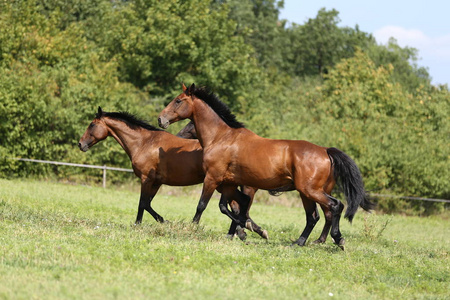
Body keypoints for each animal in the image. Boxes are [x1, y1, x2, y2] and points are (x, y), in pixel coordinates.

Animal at [78, 106, 266, 240]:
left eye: (92, 124)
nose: (80, 144)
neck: (144, 143)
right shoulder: (156, 182)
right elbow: (147, 204)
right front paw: (163, 221)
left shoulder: (146, 179)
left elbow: (142, 203)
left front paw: (139, 224)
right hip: (225, 185)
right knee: (239, 206)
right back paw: (244, 232)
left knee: (237, 207)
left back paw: (242, 232)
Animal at [158, 84, 372, 248]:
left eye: (178, 100)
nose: (161, 120)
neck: (222, 138)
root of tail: (325, 150)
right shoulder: (228, 183)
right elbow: (230, 208)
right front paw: (243, 231)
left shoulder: (213, 178)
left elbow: (203, 206)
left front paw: (193, 229)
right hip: (307, 192)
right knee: (315, 216)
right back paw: (302, 242)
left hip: (311, 190)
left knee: (334, 207)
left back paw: (335, 239)